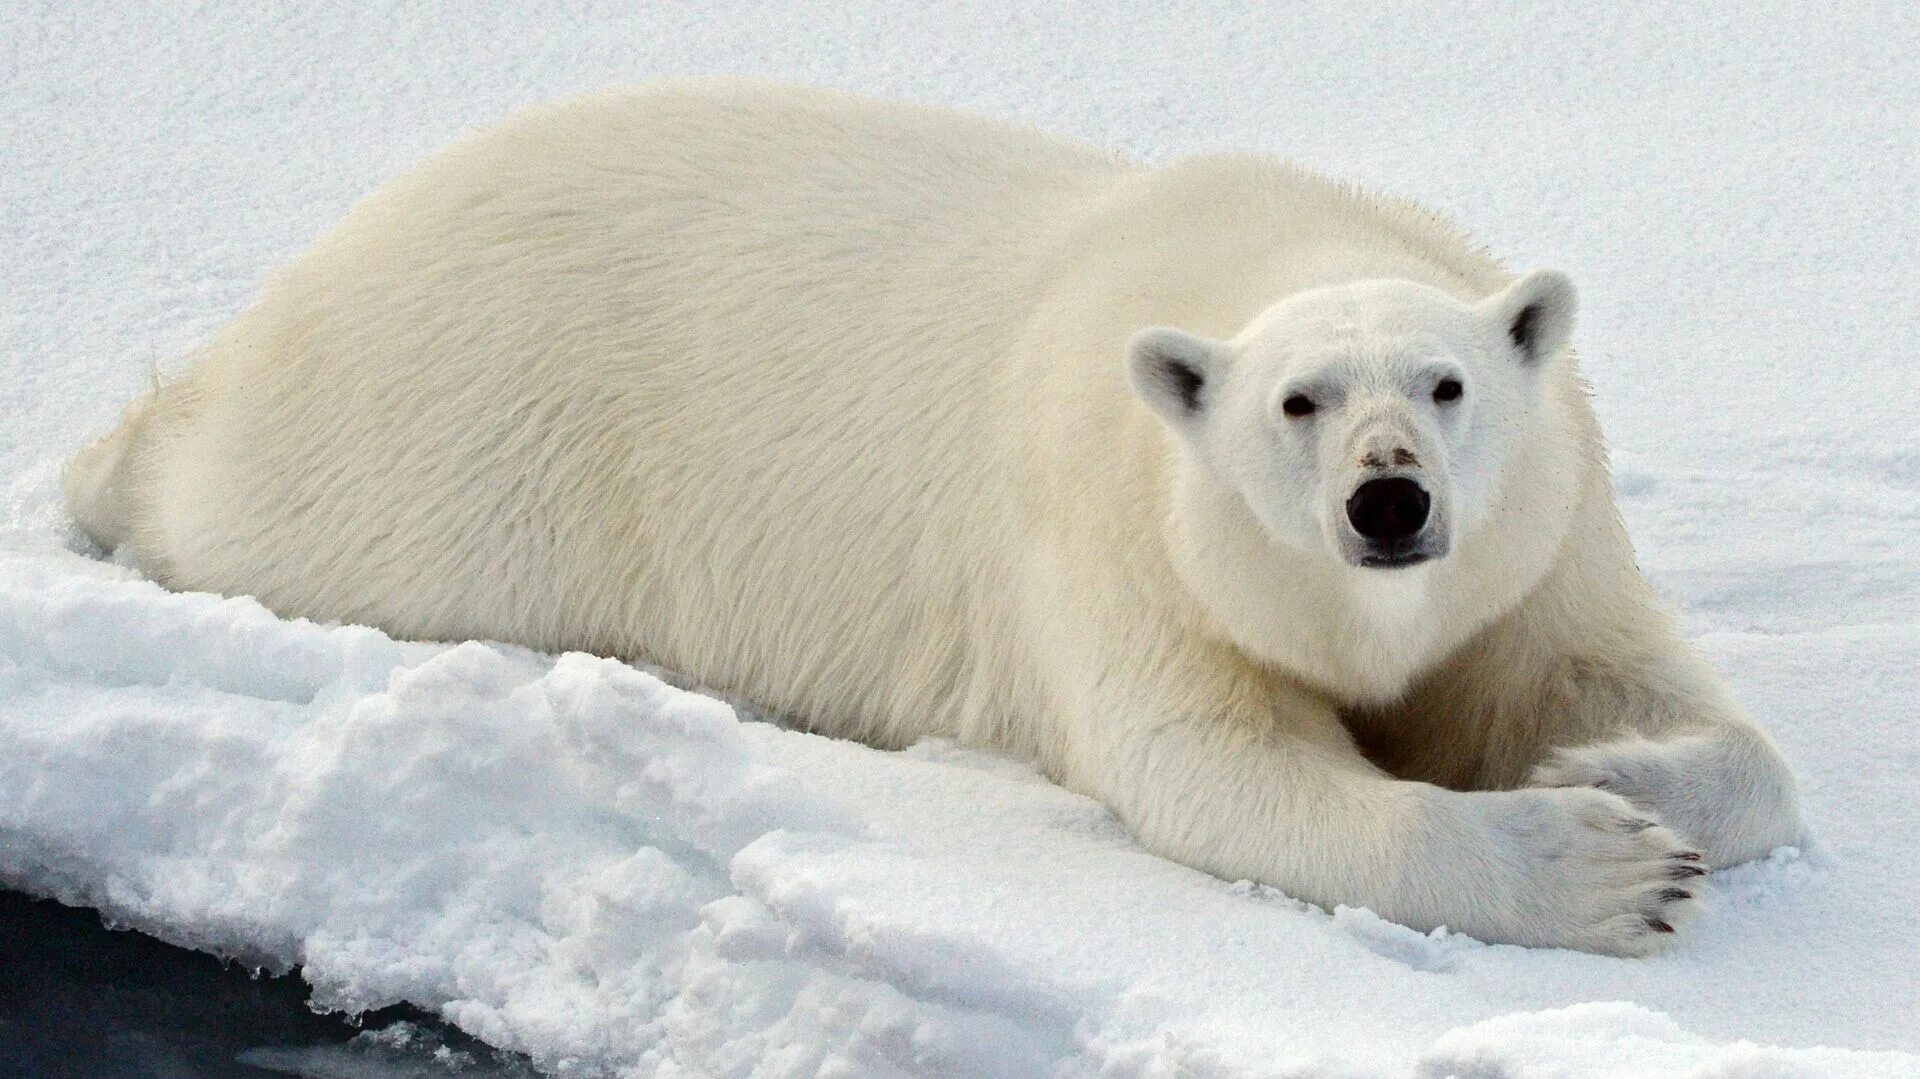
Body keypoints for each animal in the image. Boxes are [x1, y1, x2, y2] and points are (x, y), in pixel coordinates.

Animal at [60, 82, 1797, 948]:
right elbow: (1218, 772)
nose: (1388, 500)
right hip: (458, 448)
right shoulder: (1113, 538)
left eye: (1447, 384)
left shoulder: (1542, 542)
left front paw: (1603, 765)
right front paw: (1605, 866)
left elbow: (1651, 698)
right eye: (1296, 402)